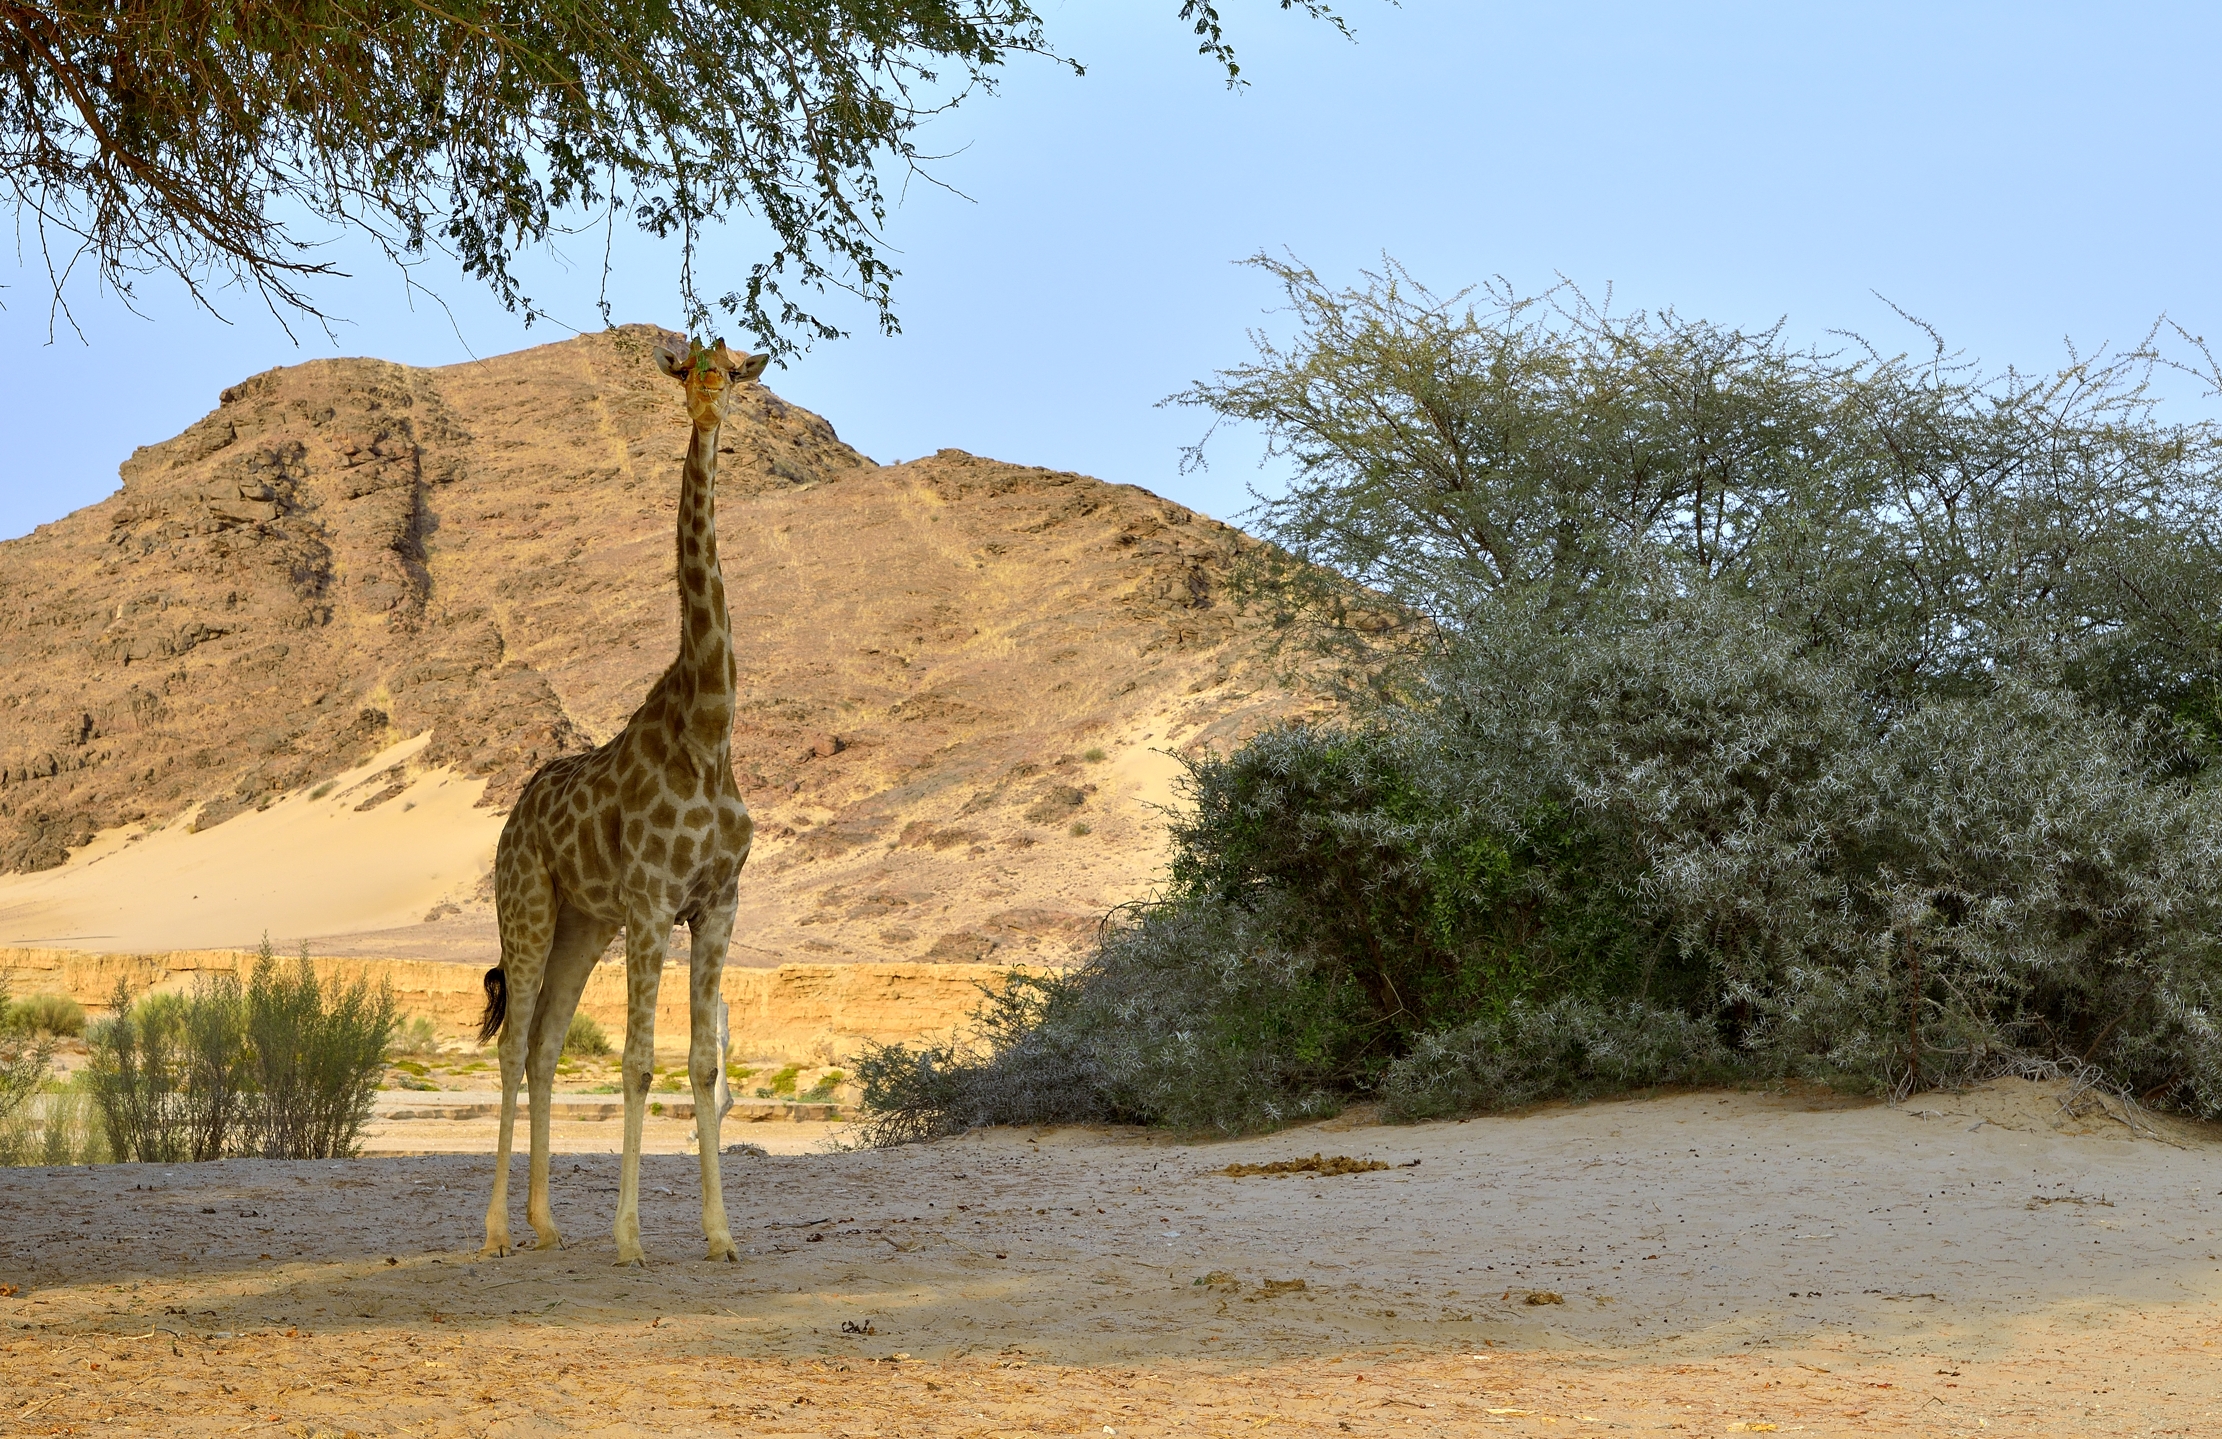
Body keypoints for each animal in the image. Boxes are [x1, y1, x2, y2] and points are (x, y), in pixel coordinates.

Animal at [476, 333, 767, 1265]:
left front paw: (721, 1235)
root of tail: (512, 818)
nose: (708, 405)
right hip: (530, 904)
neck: (710, 726)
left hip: (583, 923)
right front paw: (632, 1238)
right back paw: (497, 1231)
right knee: (513, 1044)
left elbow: (703, 1063)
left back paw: (545, 1223)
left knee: (543, 1045)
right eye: (689, 365)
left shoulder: (716, 902)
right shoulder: (651, 900)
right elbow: (639, 1061)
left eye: (735, 370)